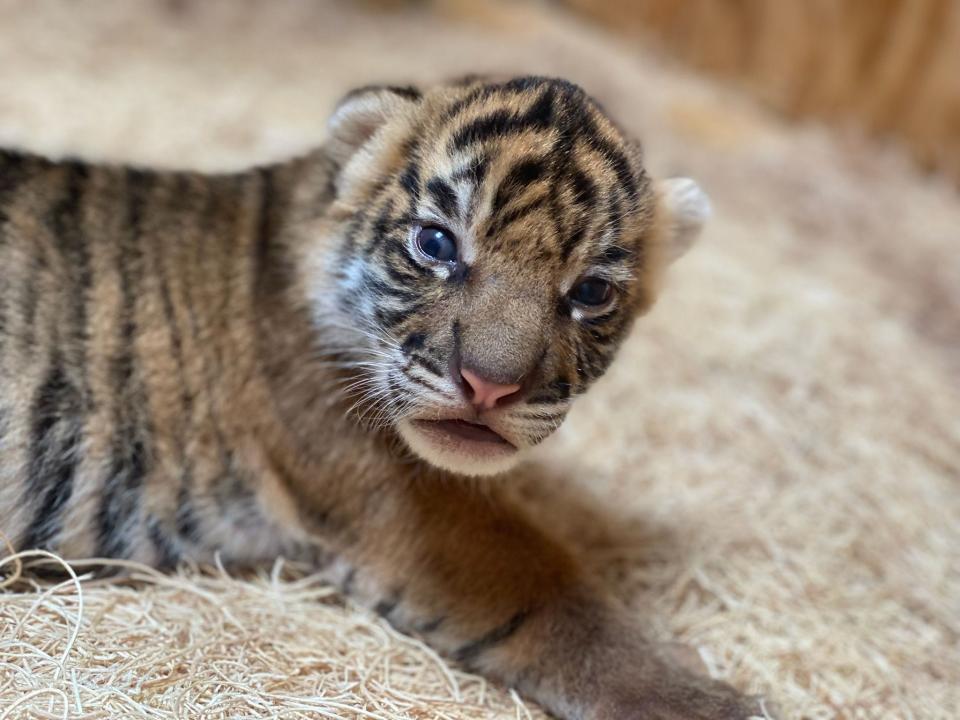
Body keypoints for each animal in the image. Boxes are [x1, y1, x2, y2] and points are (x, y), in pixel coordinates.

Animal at [0, 76, 764, 716]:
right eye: (437, 244)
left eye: (592, 292)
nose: (490, 384)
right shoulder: (407, 501)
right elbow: (557, 597)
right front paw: (706, 702)